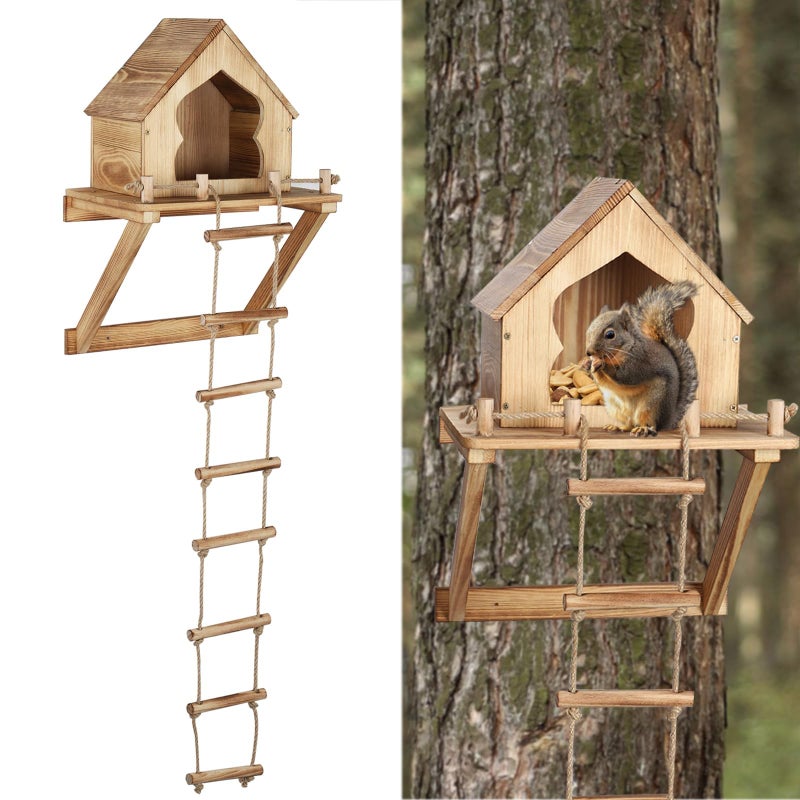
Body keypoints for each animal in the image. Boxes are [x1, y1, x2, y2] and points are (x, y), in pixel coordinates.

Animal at [582, 280, 699, 437]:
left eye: (610, 334)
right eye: (589, 330)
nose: (589, 352)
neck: (626, 348)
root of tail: (668, 421)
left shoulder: (641, 361)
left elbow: (627, 376)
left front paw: (604, 366)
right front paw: (587, 364)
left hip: (652, 404)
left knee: (651, 424)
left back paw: (643, 429)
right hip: (615, 408)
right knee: (629, 424)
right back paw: (617, 427)